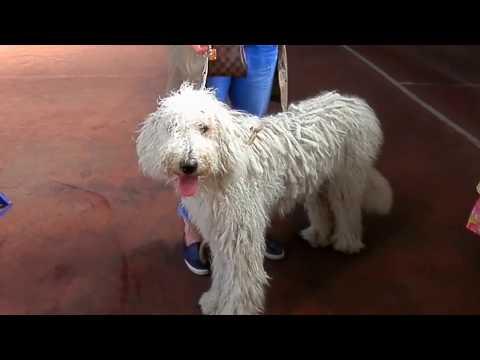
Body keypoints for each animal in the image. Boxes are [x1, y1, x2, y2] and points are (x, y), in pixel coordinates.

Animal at [137, 83, 392, 314]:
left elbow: (240, 279)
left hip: (346, 177)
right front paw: (213, 301)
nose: (188, 164)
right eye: (172, 127)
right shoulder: (219, 233)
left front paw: (235, 309)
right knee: (321, 208)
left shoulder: (240, 235)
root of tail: (354, 103)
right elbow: (222, 273)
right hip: (318, 181)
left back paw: (347, 243)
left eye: (204, 128)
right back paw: (318, 235)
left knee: (348, 210)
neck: (219, 175)